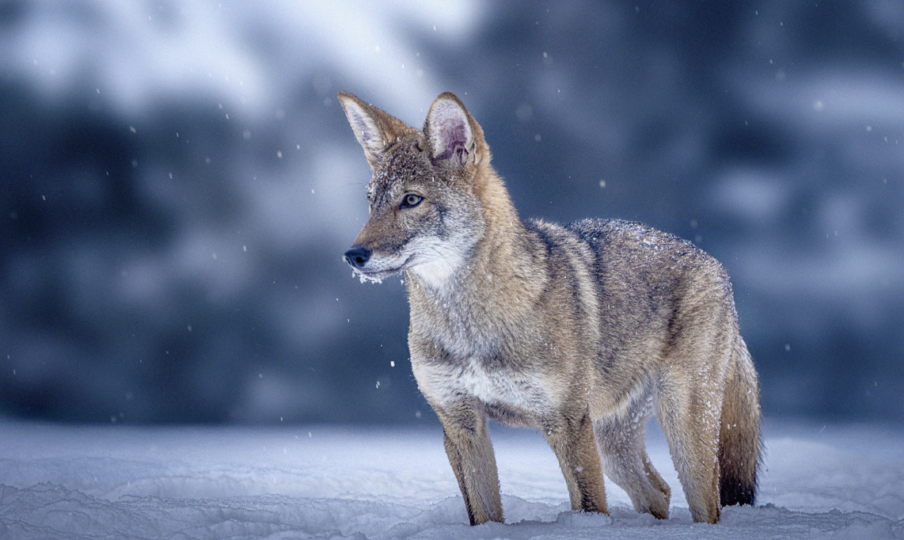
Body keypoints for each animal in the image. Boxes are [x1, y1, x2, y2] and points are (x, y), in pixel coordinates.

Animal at [337, 90, 761, 525]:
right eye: (371, 204)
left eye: (411, 200)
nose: (353, 255)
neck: (470, 324)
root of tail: (714, 264)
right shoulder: (460, 423)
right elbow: (483, 513)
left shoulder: (567, 424)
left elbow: (590, 508)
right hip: (614, 444)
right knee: (658, 491)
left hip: (681, 432)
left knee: (705, 505)